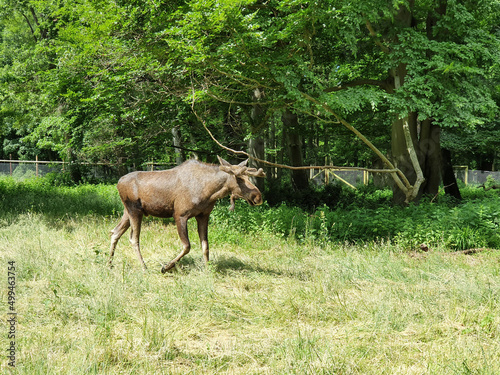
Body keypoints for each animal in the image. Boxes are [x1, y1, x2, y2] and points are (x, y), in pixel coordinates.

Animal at [109, 156, 266, 274]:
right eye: (238, 178)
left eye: (248, 177)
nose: (258, 197)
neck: (210, 192)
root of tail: (118, 182)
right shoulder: (180, 215)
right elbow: (187, 246)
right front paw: (166, 267)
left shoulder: (203, 215)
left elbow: (205, 246)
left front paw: (208, 269)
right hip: (135, 210)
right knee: (133, 239)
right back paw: (144, 267)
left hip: (127, 212)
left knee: (115, 232)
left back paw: (109, 263)